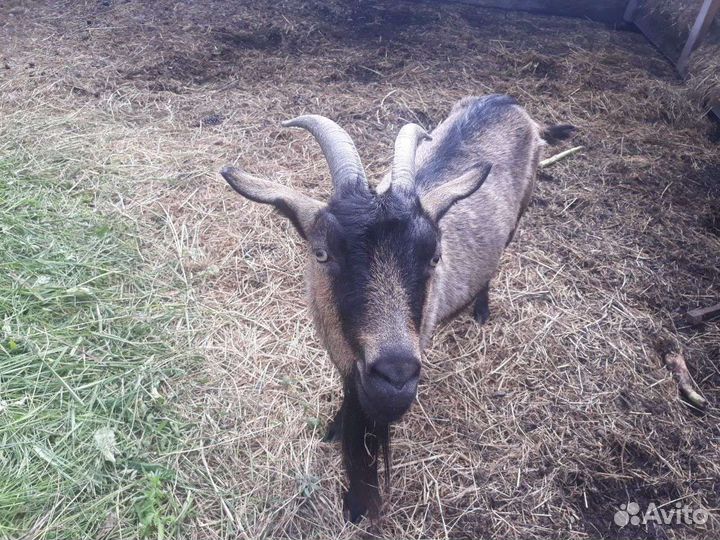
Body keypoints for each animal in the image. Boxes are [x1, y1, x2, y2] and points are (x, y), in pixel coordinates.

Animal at [220, 94, 574, 522]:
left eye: (434, 256)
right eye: (321, 253)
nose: (396, 375)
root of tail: (506, 101)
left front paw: (356, 504)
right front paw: (334, 428)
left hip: (521, 210)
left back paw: (481, 309)